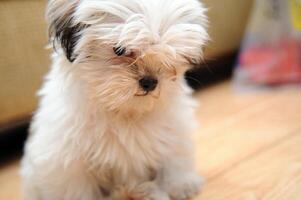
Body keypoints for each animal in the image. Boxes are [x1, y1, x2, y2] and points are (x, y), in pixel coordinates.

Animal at [21, 0, 206, 198]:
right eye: (119, 50)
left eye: (171, 55)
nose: (150, 81)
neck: (123, 110)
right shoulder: (65, 160)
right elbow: (76, 188)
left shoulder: (175, 128)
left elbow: (175, 156)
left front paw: (181, 183)